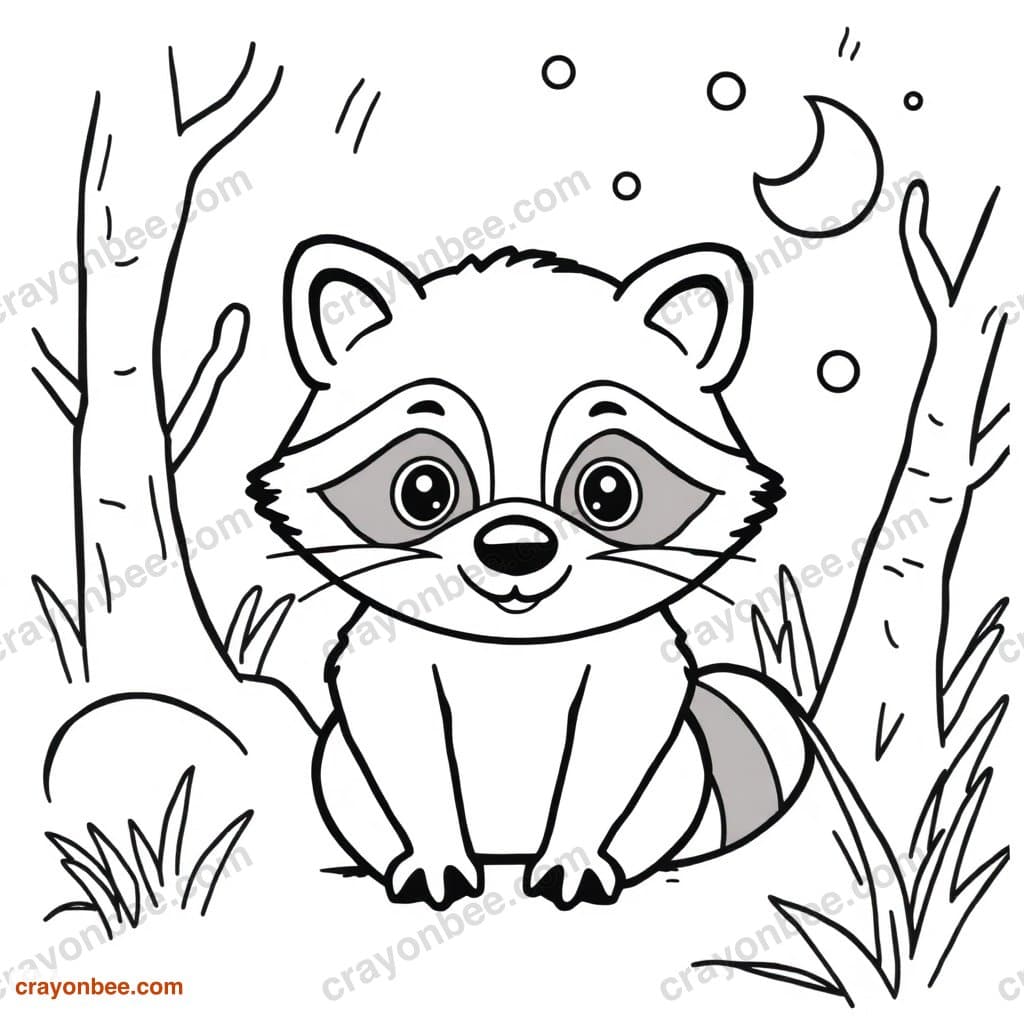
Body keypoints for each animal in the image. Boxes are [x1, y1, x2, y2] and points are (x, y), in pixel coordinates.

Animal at [249, 237, 811, 910]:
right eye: (423, 488)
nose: (516, 547)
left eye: (608, 490)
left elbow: (603, 755)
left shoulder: (629, 672)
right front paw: (436, 861)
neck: (514, 650)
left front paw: (575, 862)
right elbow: (412, 755)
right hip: (340, 774)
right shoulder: (390, 666)